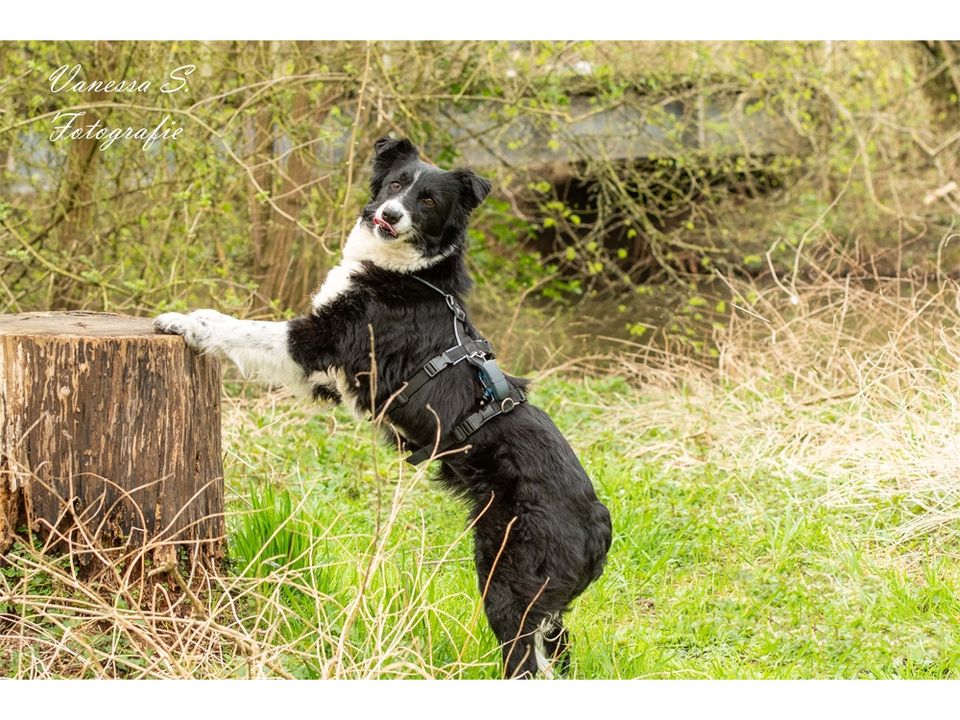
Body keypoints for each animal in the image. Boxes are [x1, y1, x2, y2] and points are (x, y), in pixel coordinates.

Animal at [154, 136, 612, 680]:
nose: (390, 215)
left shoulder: (314, 341)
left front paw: (187, 321)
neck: (408, 272)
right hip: (545, 605)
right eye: (396, 184)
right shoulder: (325, 377)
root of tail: (599, 527)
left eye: (428, 200)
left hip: (508, 583)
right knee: (557, 649)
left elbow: (241, 328)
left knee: (523, 661)